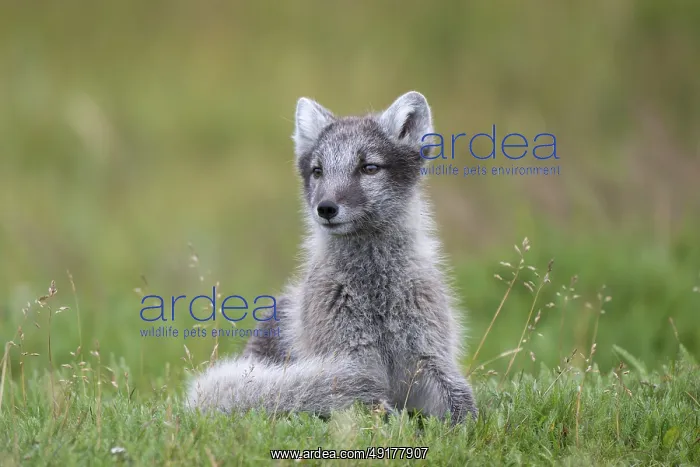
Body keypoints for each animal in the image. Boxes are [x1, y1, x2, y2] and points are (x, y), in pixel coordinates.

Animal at [186, 91, 478, 423]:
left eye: (369, 168)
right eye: (318, 171)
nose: (325, 208)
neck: (375, 288)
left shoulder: (429, 355)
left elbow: (464, 406)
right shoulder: (350, 357)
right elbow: (377, 408)